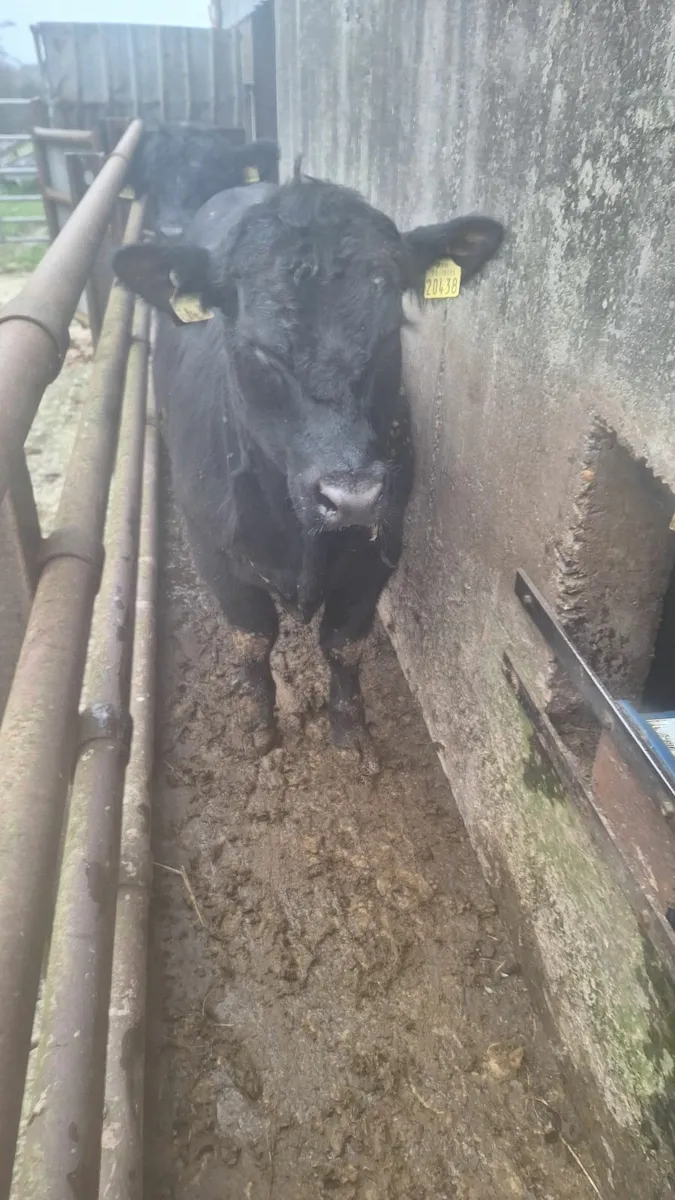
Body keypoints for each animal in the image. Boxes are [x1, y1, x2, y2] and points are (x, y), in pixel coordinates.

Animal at [114, 163, 503, 768]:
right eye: (259, 350)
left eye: (390, 333)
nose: (352, 494)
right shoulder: (212, 552)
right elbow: (253, 637)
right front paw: (259, 727)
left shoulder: (381, 545)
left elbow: (344, 644)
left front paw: (352, 734)